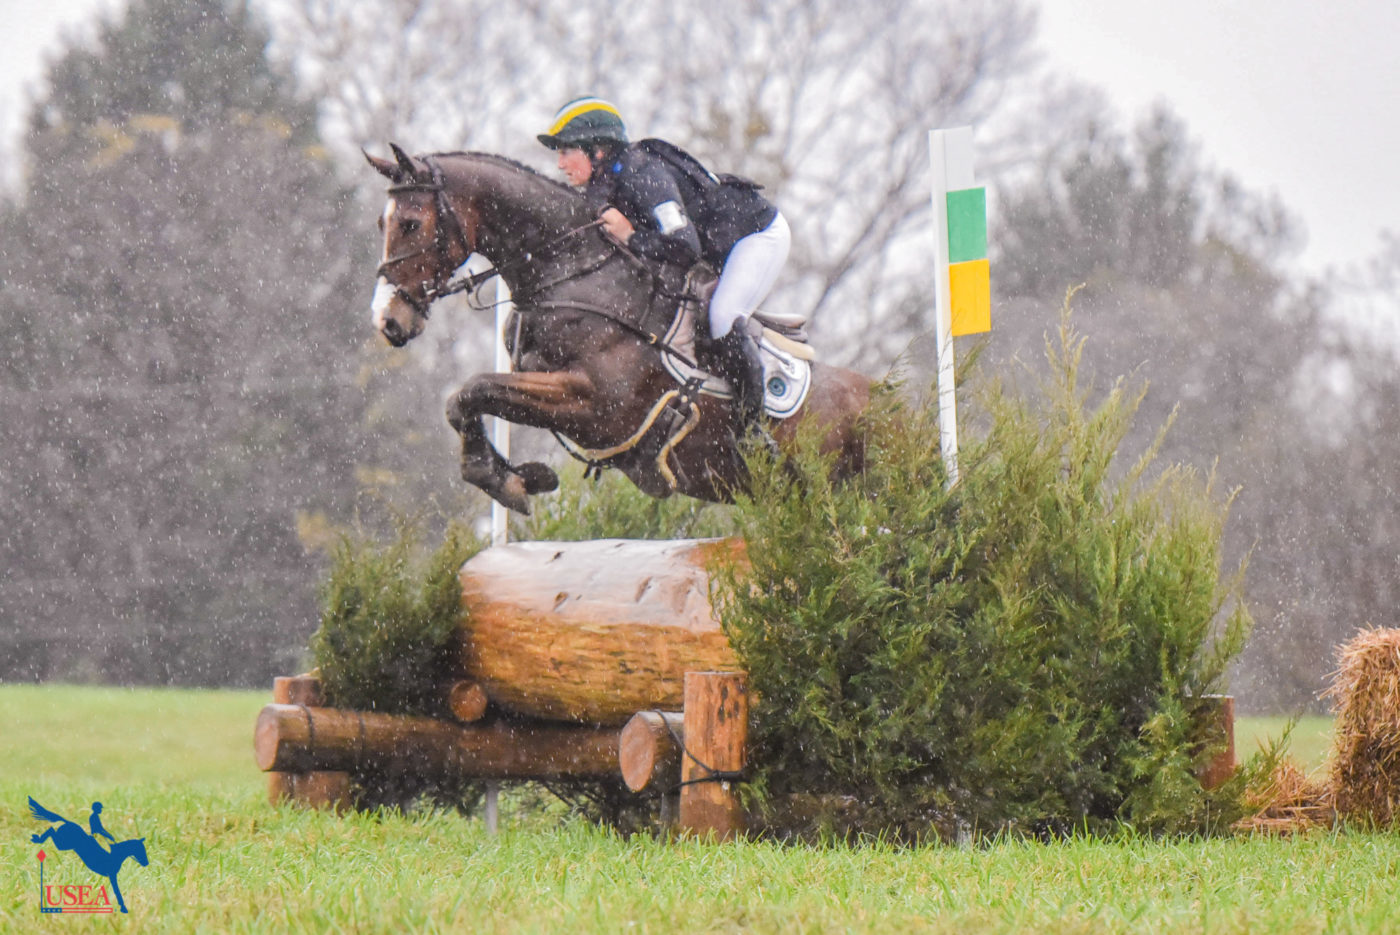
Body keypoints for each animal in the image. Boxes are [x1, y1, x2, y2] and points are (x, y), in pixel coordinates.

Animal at [364, 142, 862, 515]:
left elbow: (475, 389)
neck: (576, 274)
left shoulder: (594, 403)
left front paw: (504, 481)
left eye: (410, 223)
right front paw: (520, 478)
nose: (387, 320)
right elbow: (464, 401)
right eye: (381, 222)